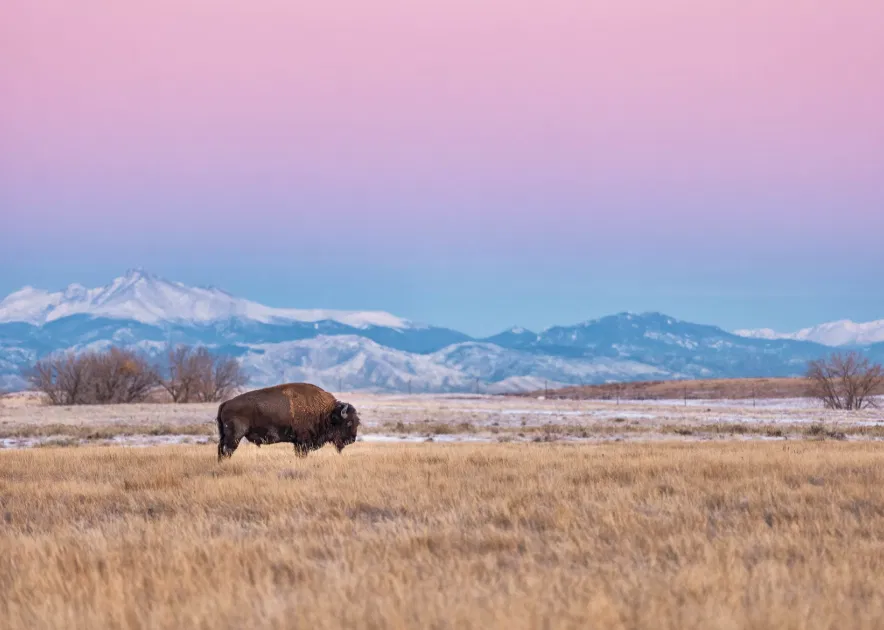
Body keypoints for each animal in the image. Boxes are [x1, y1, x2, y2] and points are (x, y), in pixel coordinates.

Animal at [216, 382, 360, 460]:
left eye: (357, 422)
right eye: (348, 423)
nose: (352, 439)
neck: (326, 413)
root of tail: (226, 403)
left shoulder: (298, 442)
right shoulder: (303, 441)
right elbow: (302, 453)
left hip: (225, 435)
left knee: (221, 449)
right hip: (235, 436)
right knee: (228, 450)